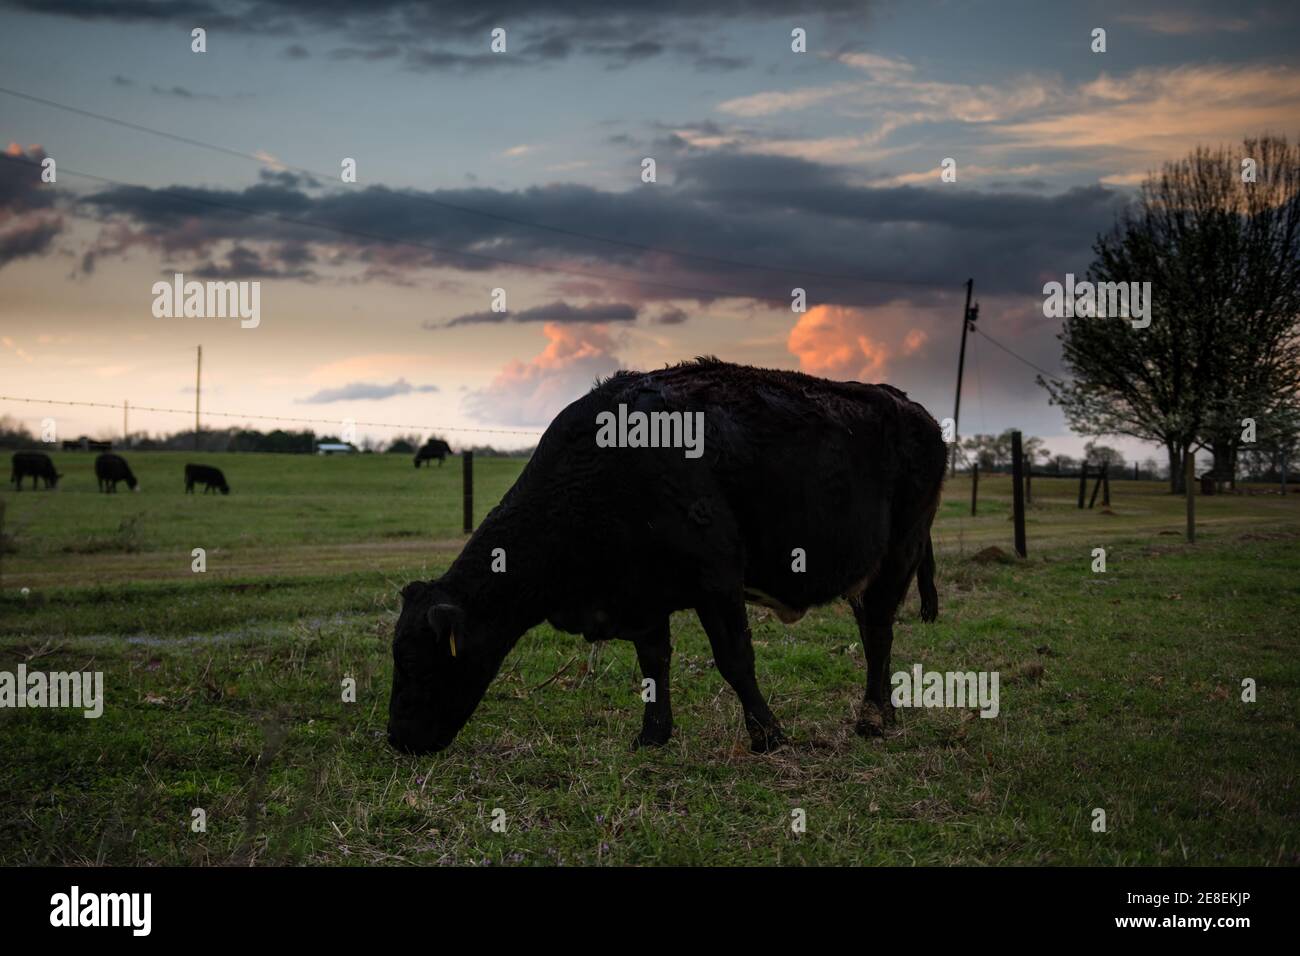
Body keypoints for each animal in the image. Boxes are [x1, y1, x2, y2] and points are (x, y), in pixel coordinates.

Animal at [388, 359, 945, 757]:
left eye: (417, 662)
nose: (396, 738)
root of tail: (909, 406)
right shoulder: (642, 594)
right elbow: (653, 663)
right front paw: (653, 735)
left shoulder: (717, 580)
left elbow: (735, 660)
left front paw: (768, 736)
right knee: (872, 630)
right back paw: (884, 713)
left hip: (900, 551)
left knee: (879, 632)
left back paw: (872, 718)